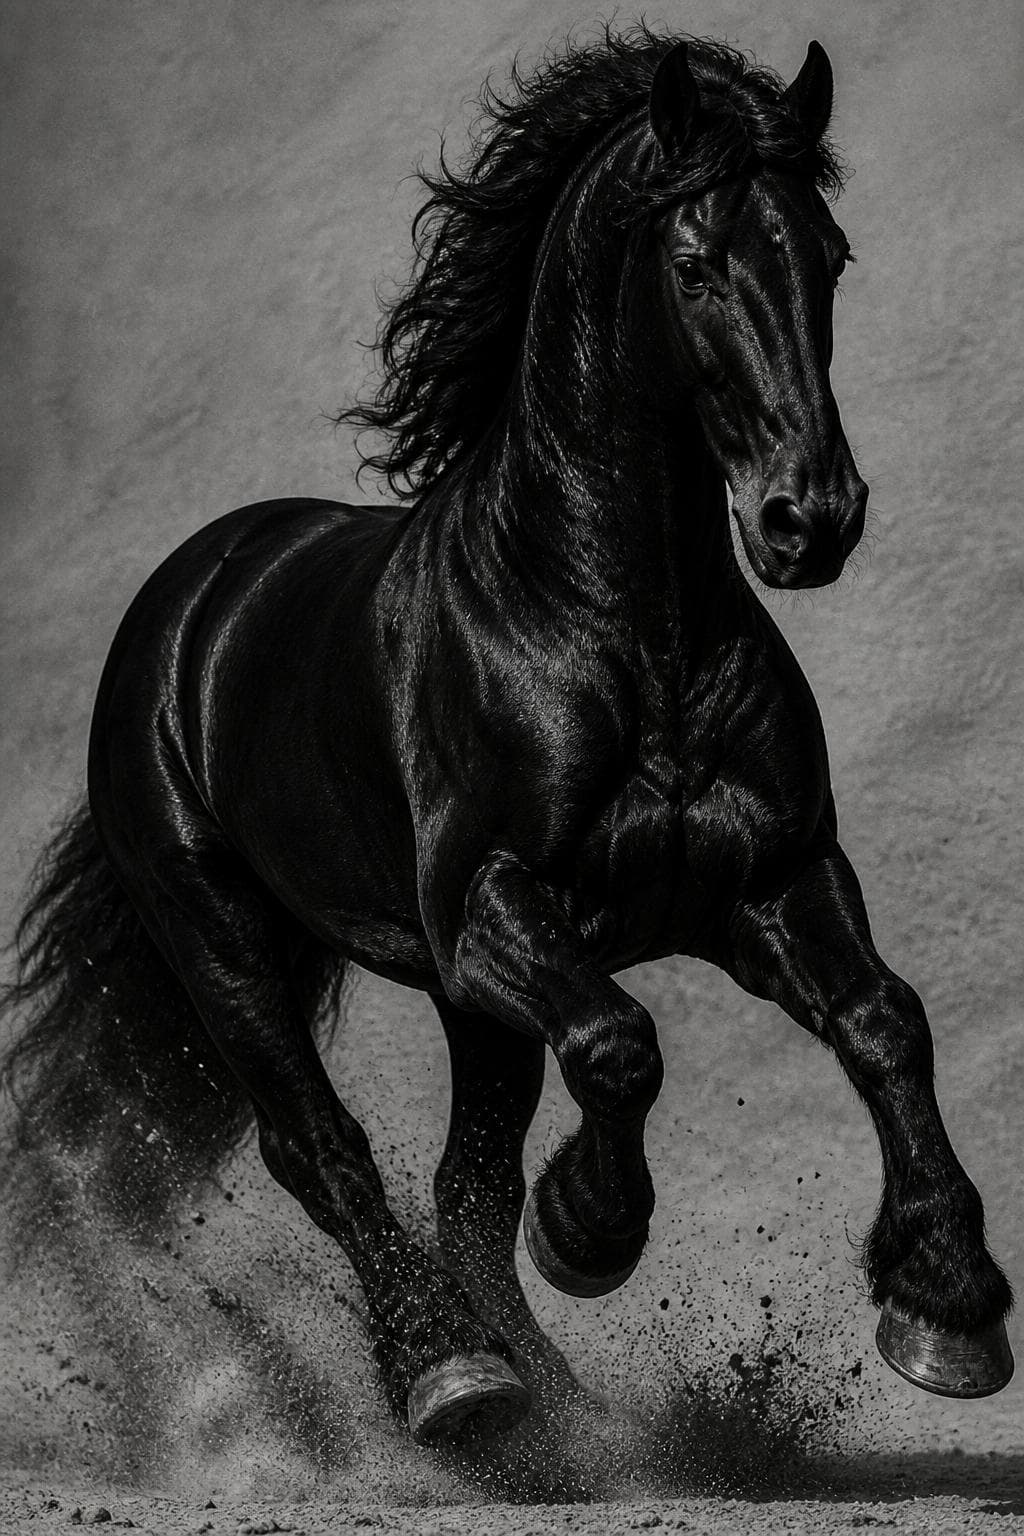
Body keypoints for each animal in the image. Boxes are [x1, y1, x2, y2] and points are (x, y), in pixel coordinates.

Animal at [1, 27, 1013, 1448]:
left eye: (829, 257)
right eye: (695, 262)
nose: (811, 519)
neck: (620, 629)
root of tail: (190, 601)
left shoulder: (770, 882)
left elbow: (884, 1021)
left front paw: (946, 1306)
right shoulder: (495, 909)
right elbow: (621, 1046)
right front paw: (590, 1229)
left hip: (466, 1008)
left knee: (461, 1184)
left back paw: (556, 1413)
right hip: (224, 936)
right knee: (324, 1151)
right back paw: (451, 1373)